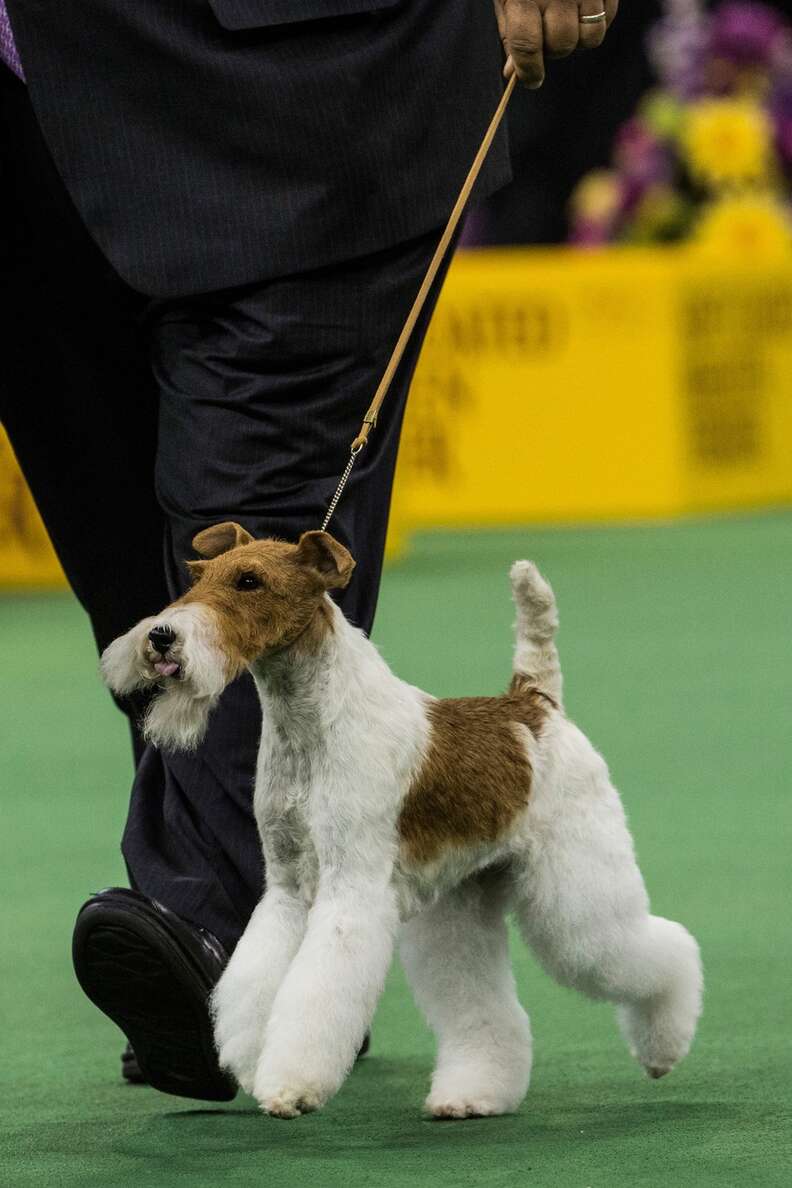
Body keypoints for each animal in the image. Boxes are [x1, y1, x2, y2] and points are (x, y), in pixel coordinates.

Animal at [102, 525, 702, 1116]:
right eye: (198, 575)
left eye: (249, 581)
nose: (159, 638)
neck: (309, 725)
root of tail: (535, 702)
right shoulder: (287, 887)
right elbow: (256, 980)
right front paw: (251, 1061)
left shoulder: (350, 886)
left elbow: (316, 991)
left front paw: (291, 1086)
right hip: (458, 903)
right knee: (483, 1004)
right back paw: (471, 1094)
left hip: (578, 886)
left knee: (662, 948)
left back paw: (662, 1050)